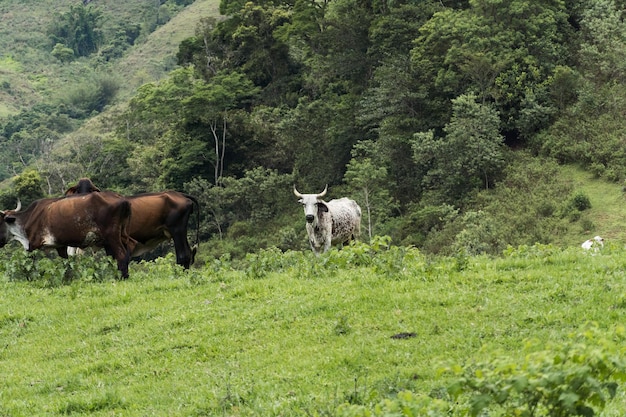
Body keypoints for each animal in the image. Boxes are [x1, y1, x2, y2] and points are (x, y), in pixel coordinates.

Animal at [0, 193, 133, 278]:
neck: (27, 218)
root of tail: (123, 200)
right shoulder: (60, 246)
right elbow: (66, 263)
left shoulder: (33, 245)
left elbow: (30, 263)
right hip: (121, 236)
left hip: (112, 237)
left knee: (121, 255)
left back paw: (122, 277)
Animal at [64, 177, 199, 268]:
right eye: (78, 190)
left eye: (90, 190)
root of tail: (180, 194)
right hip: (180, 232)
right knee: (189, 253)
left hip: (177, 230)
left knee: (183, 255)